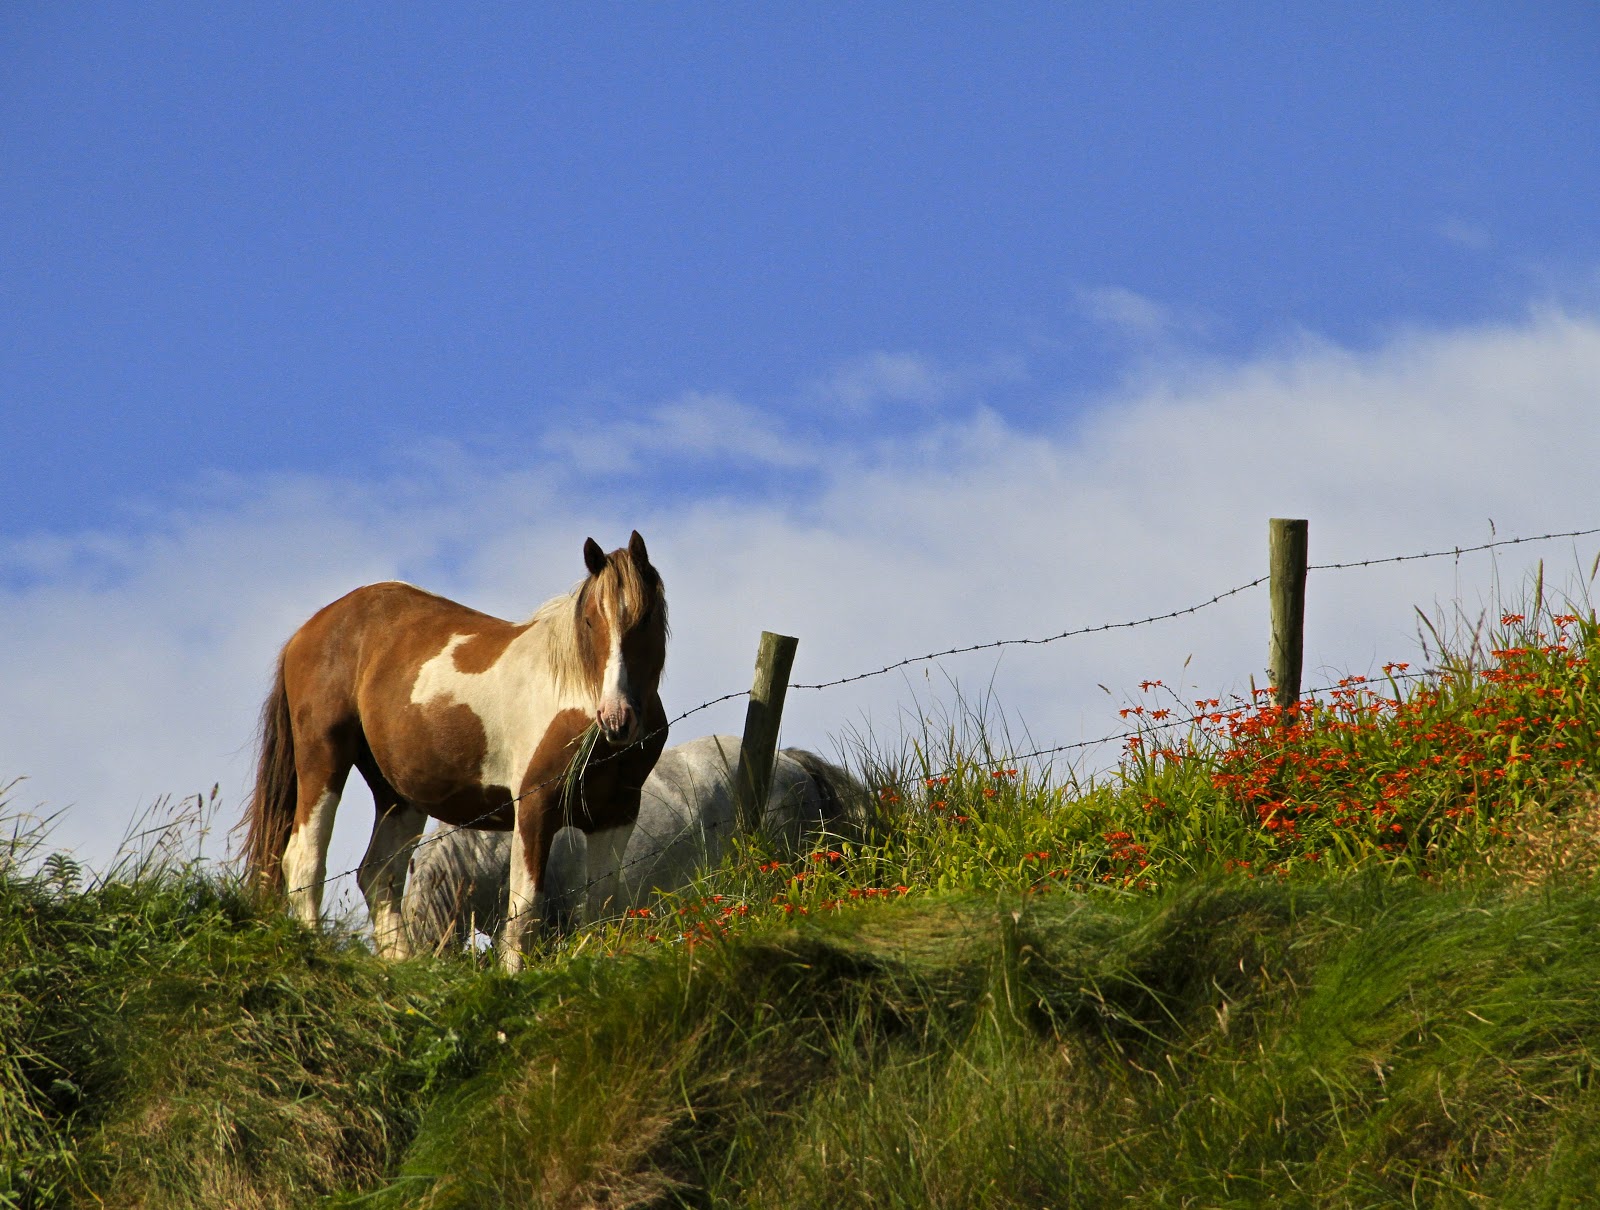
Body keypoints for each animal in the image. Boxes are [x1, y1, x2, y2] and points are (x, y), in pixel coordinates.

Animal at [238, 534, 668, 966]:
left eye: (645, 618)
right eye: (591, 620)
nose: (617, 718)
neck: (576, 698)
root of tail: (310, 629)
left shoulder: (615, 816)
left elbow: (601, 906)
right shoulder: (534, 804)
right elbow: (525, 908)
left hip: (398, 793)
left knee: (378, 875)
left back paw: (403, 964)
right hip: (323, 757)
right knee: (304, 859)